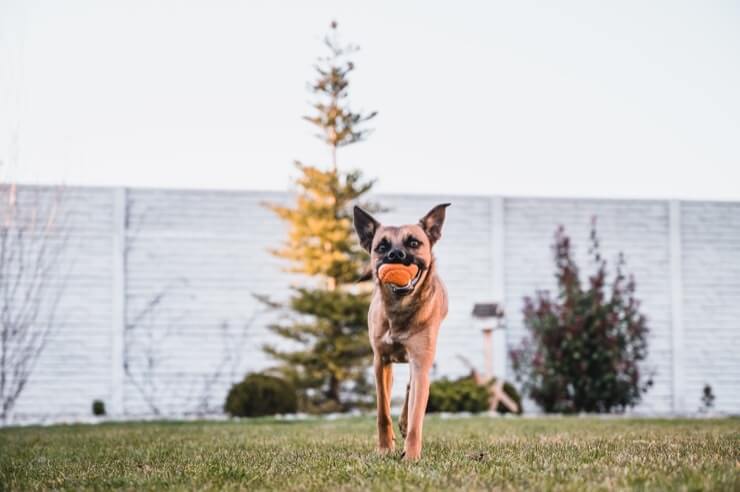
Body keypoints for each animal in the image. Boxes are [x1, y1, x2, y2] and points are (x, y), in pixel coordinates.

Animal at [354, 202, 450, 460]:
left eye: (413, 243)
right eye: (382, 246)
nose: (395, 255)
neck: (400, 309)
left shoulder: (420, 362)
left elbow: (417, 415)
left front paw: (412, 454)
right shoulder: (380, 362)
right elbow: (382, 411)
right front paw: (385, 447)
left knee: (411, 387)